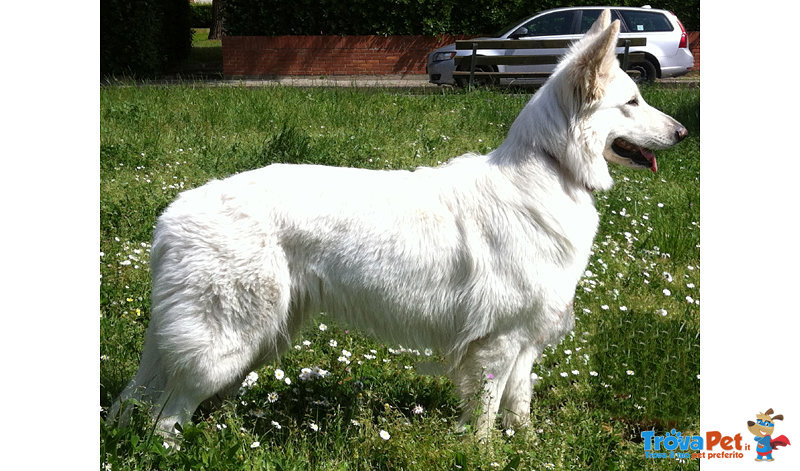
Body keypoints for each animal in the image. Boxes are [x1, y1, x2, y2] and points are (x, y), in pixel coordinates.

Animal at [109, 10, 688, 438]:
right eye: (633, 102)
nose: (683, 133)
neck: (550, 167)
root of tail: (172, 215)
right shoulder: (496, 345)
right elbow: (484, 416)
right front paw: (483, 454)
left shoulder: (524, 343)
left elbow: (518, 407)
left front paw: (526, 449)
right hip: (224, 343)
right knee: (166, 416)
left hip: (249, 337)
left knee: (143, 402)